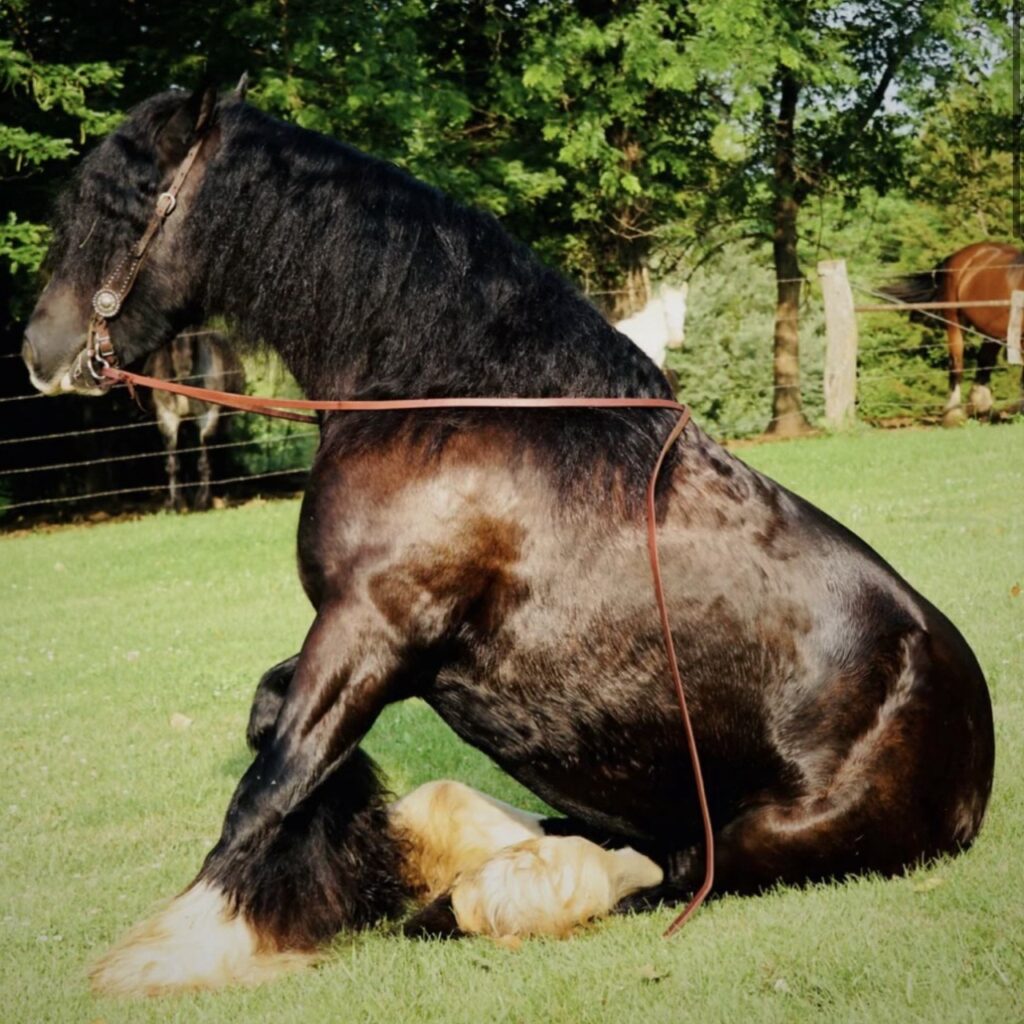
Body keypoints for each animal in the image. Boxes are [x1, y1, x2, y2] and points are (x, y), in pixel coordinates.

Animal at [143, 329, 244, 509]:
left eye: (193, 333)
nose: (183, 371)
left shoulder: (209, 417)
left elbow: (204, 462)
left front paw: (203, 501)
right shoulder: (167, 418)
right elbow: (173, 464)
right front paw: (174, 503)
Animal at [881, 241, 1024, 423]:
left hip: (991, 330)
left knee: (984, 361)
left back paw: (981, 409)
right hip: (955, 322)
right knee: (956, 363)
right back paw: (954, 414)